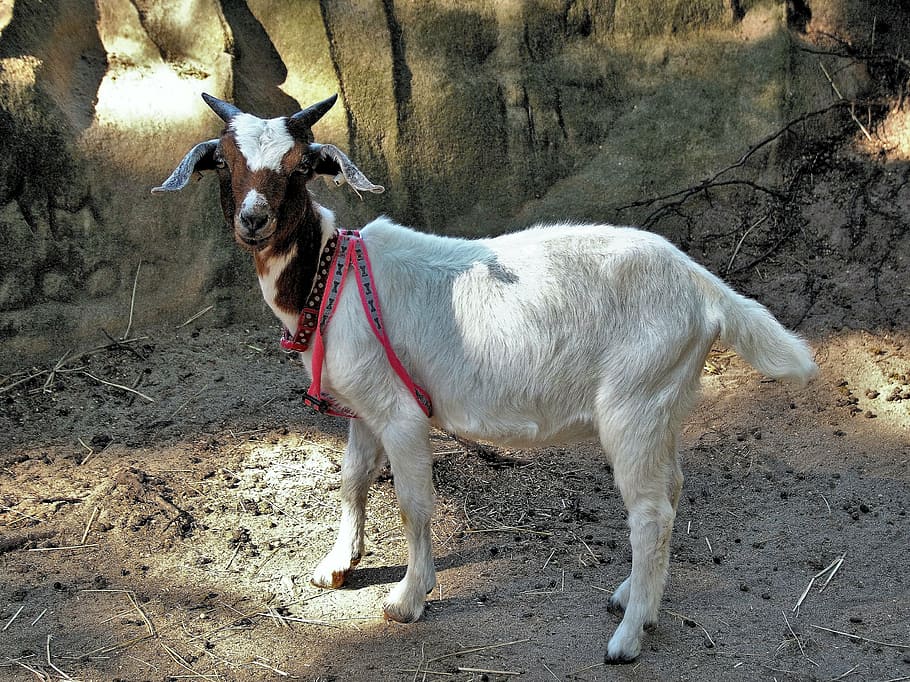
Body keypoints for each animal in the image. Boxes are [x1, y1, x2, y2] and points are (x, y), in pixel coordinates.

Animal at [153, 94, 818, 662]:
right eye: (226, 162)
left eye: (297, 168)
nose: (254, 220)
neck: (328, 275)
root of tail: (704, 288)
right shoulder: (364, 405)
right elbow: (352, 480)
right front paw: (337, 564)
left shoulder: (400, 412)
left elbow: (413, 503)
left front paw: (407, 599)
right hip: (666, 402)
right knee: (672, 490)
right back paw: (636, 598)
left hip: (634, 403)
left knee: (650, 512)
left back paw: (627, 638)